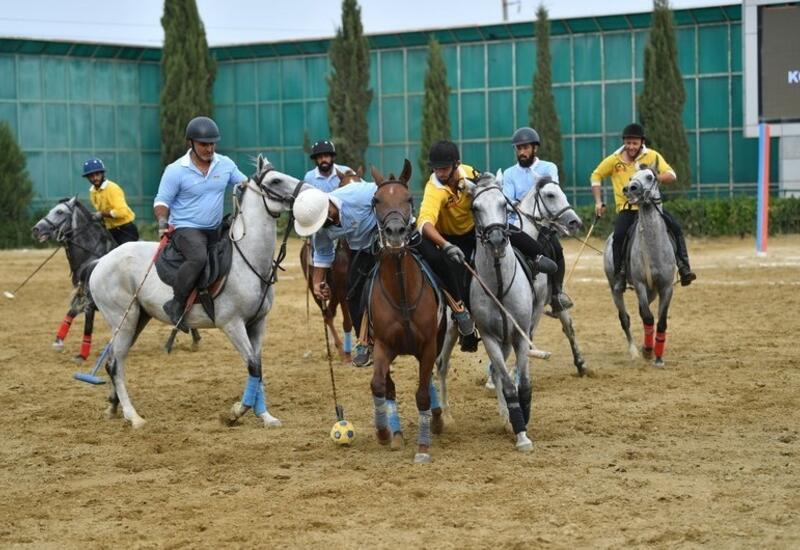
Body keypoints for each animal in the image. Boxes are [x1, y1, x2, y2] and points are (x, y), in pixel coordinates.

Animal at [87, 156, 310, 432]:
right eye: (276, 180)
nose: (308, 191)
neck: (248, 260)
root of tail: (101, 261)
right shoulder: (232, 324)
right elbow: (252, 366)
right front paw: (235, 413)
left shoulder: (257, 323)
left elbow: (258, 368)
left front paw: (266, 416)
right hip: (123, 319)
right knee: (115, 365)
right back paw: (133, 416)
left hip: (137, 319)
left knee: (113, 361)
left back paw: (113, 407)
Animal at [608, 166, 676, 368]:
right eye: (631, 177)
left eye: (650, 177)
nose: (629, 189)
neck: (653, 248)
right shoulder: (639, 284)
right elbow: (648, 317)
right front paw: (647, 350)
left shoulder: (666, 287)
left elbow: (661, 322)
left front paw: (659, 357)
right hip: (615, 289)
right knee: (625, 318)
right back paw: (634, 351)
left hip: (652, 291)